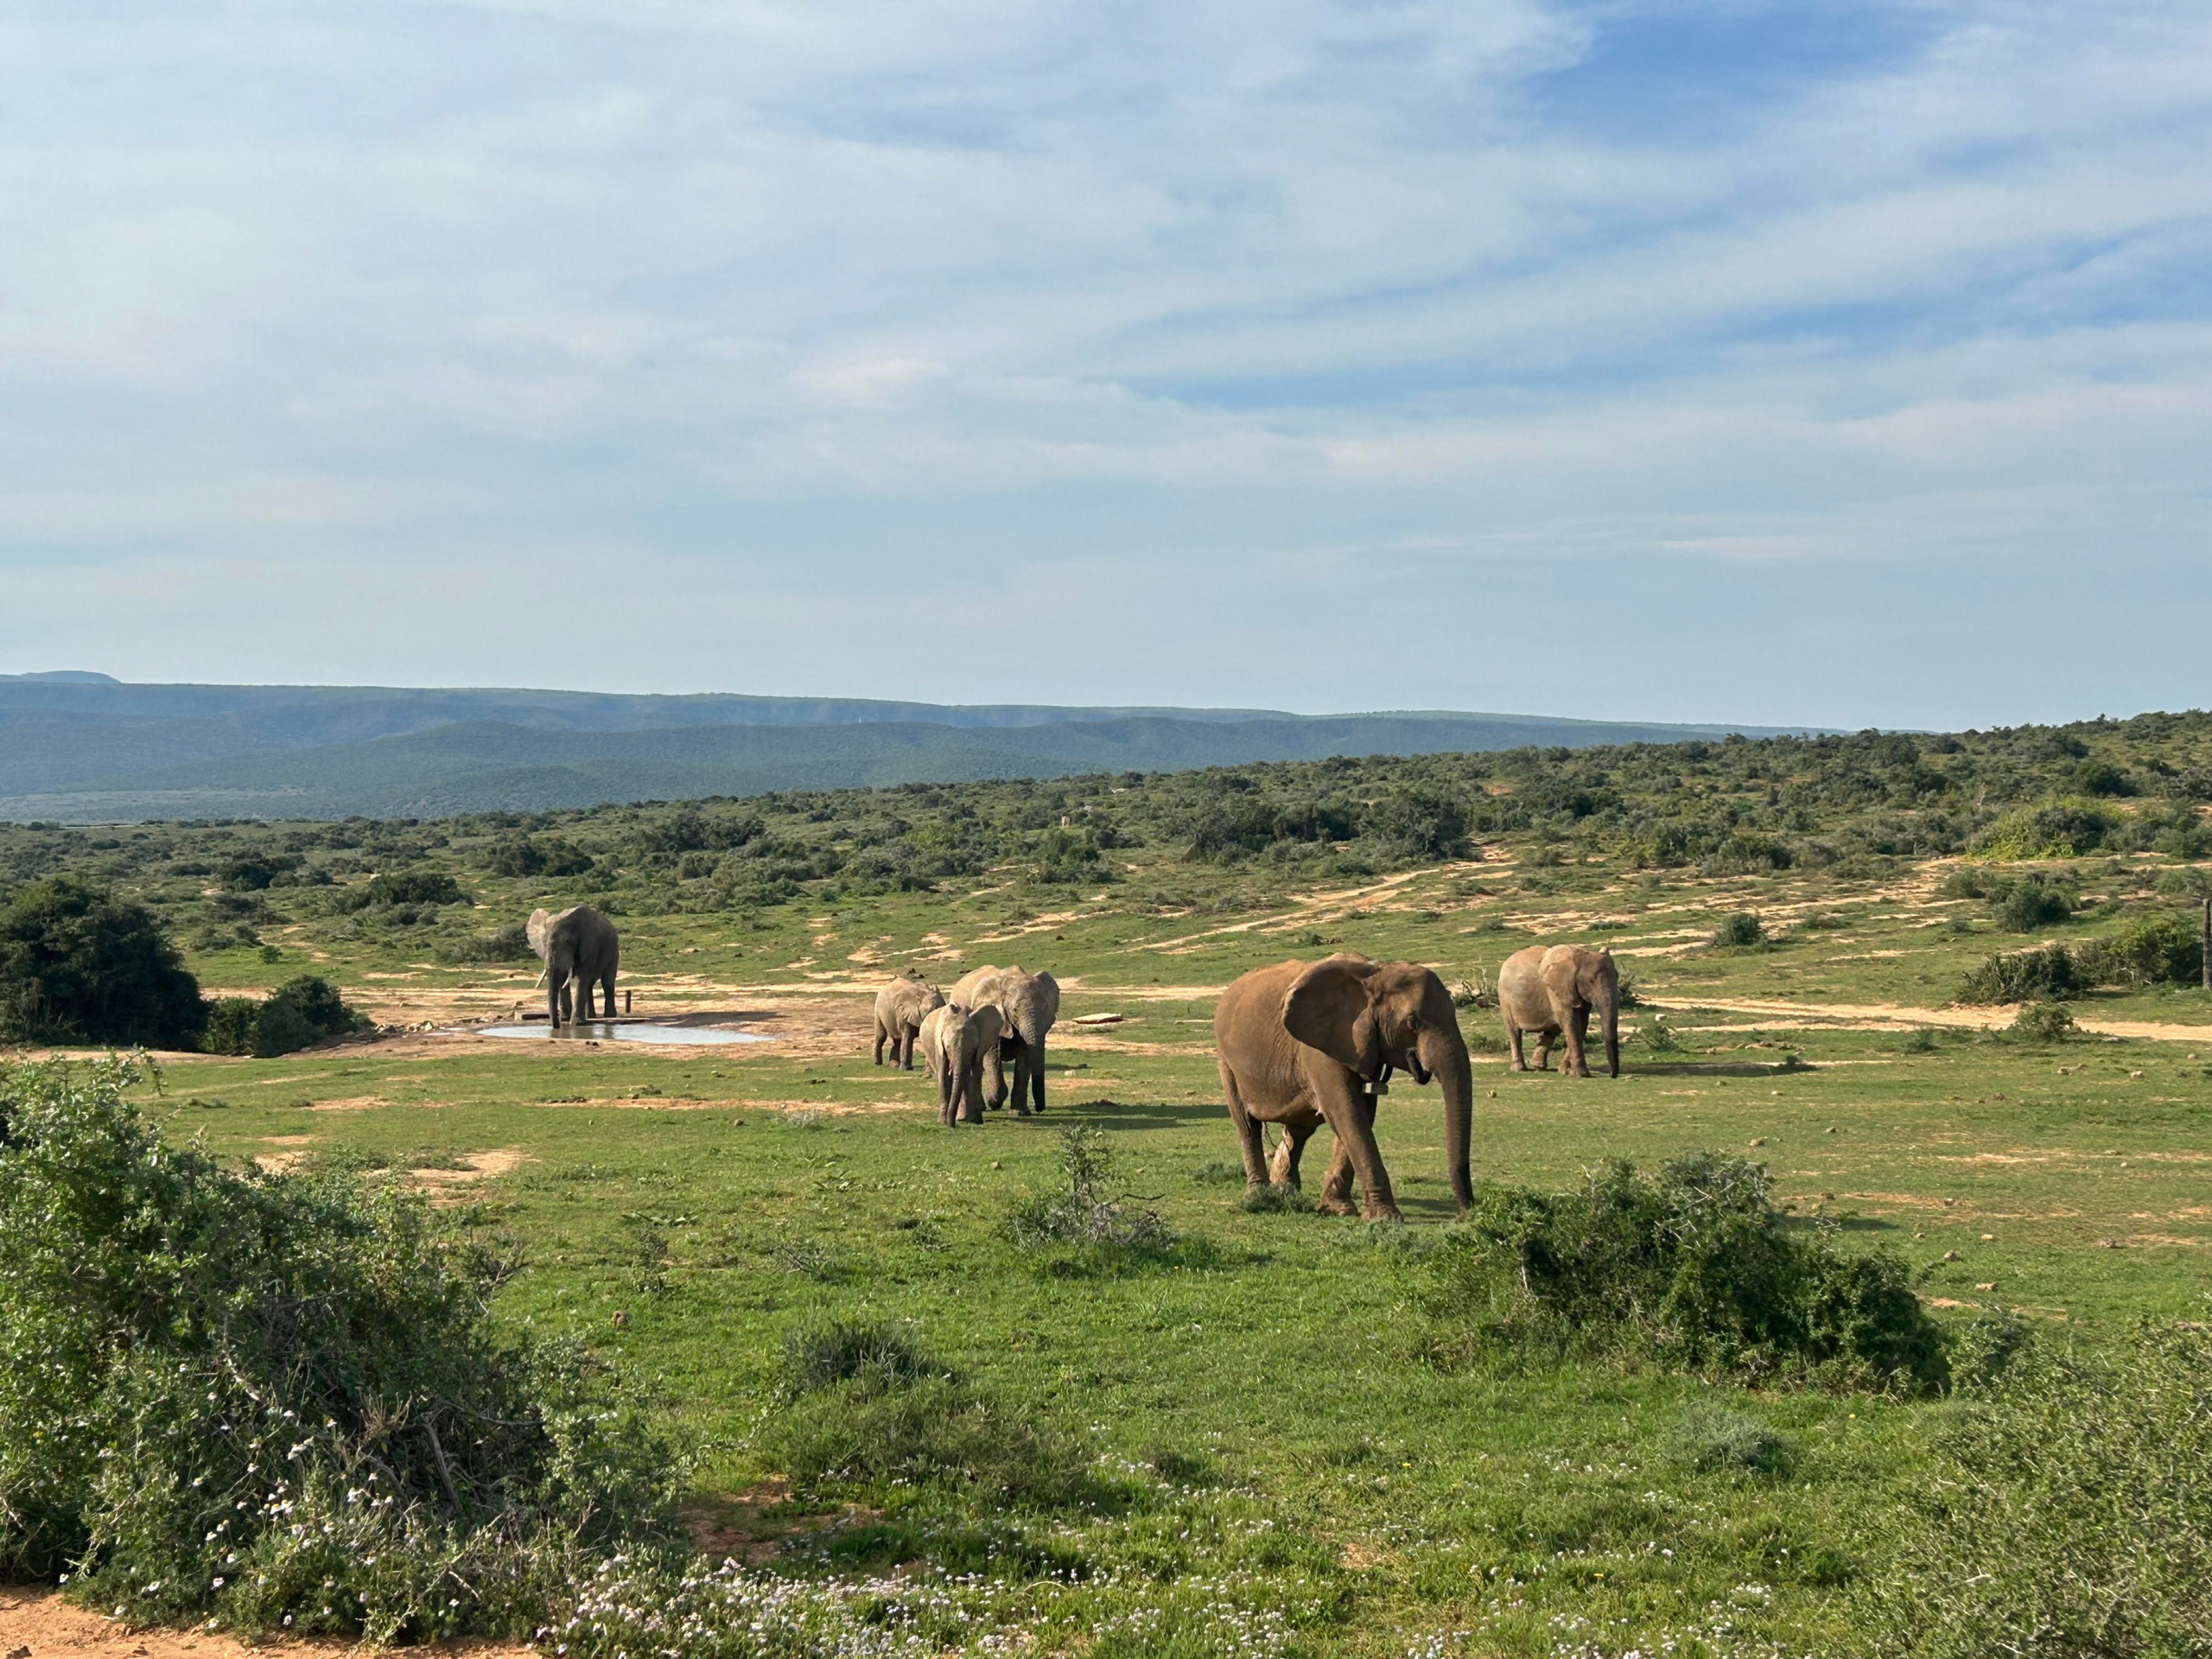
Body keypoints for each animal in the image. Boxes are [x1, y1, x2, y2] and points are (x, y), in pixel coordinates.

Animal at [527, 905, 620, 1029]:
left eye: (568, 942)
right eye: (544, 944)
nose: (557, 1026)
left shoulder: (590, 945)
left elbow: (582, 976)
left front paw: (577, 1024)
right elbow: (563, 978)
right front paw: (565, 1019)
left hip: (614, 951)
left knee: (607, 981)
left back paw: (609, 1015)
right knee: (589, 984)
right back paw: (590, 1016)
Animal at [918, 1001, 1005, 1126]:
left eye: (973, 1048)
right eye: (948, 1047)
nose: (952, 1126)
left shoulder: (980, 1048)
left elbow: (975, 1075)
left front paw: (976, 1120)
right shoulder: (939, 1045)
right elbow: (944, 1076)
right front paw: (943, 1122)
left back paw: (963, 1118)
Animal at [949, 964, 1060, 1115]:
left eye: (1045, 1009)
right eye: (1015, 1011)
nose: (1038, 1108)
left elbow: (1024, 1055)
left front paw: (1019, 1112)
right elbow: (992, 1054)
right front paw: (992, 1102)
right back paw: (980, 1107)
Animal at [1212, 954, 1475, 1221]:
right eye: (1412, 1023)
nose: (1464, 1214)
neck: (1375, 974)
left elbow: (1361, 1112)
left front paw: (1338, 1209)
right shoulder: (1321, 1047)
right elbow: (1346, 1112)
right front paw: (1385, 1217)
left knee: (1298, 1131)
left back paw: (1286, 1191)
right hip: (1226, 1061)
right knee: (1248, 1126)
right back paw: (1259, 1195)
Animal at [1497, 944, 1620, 1078]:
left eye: (1617, 978)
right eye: (1591, 981)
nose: (1611, 1075)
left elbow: (1581, 1025)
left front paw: (1565, 1072)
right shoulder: (1556, 989)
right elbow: (1570, 1025)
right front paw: (1581, 1075)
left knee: (1552, 1031)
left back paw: (1538, 1065)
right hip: (1505, 999)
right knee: (1514, 1032)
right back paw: (1519, 1069)